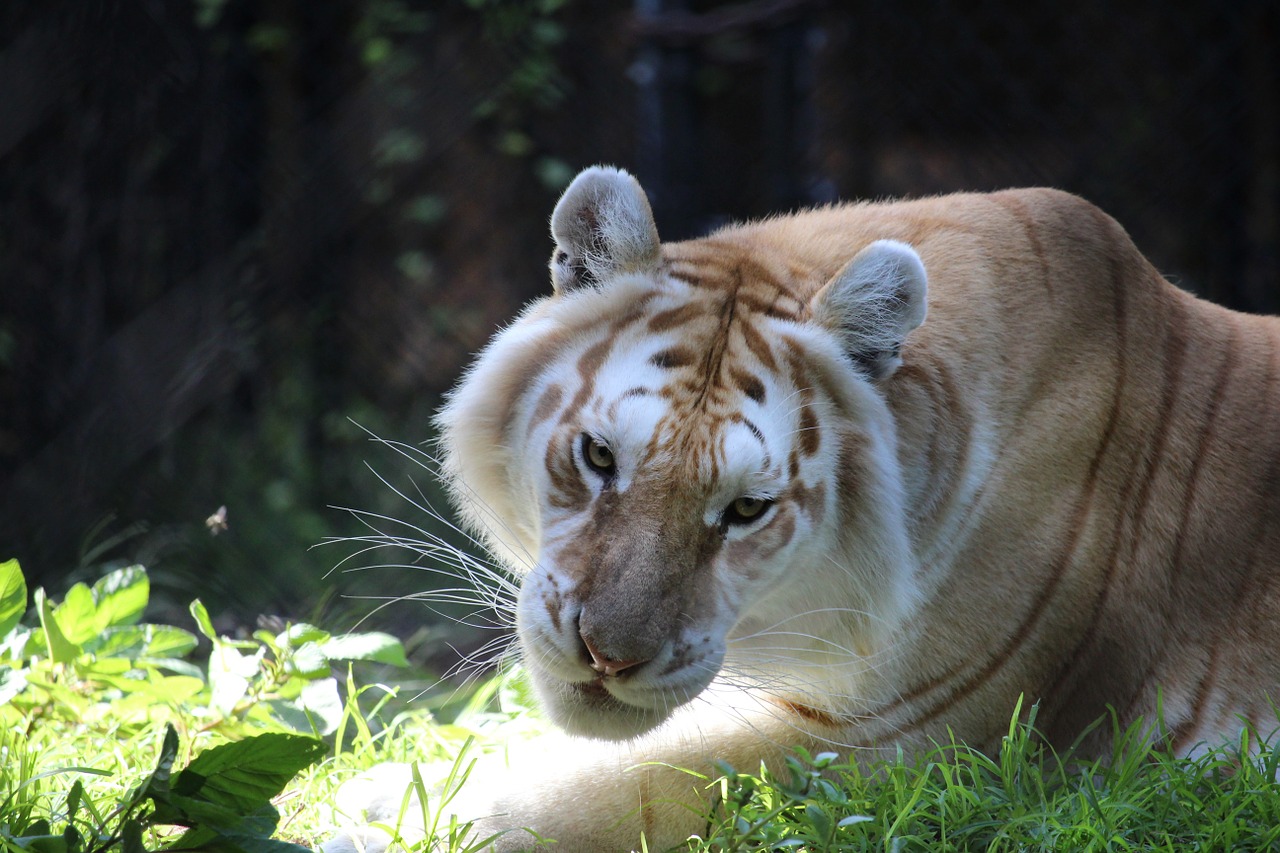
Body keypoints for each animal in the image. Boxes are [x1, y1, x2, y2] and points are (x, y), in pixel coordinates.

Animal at [325, 166, 1280, 850]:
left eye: (747, 509)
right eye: (599, 457)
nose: (606, 655)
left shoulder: (916, 740)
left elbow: (607, 791)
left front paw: (375, 818)